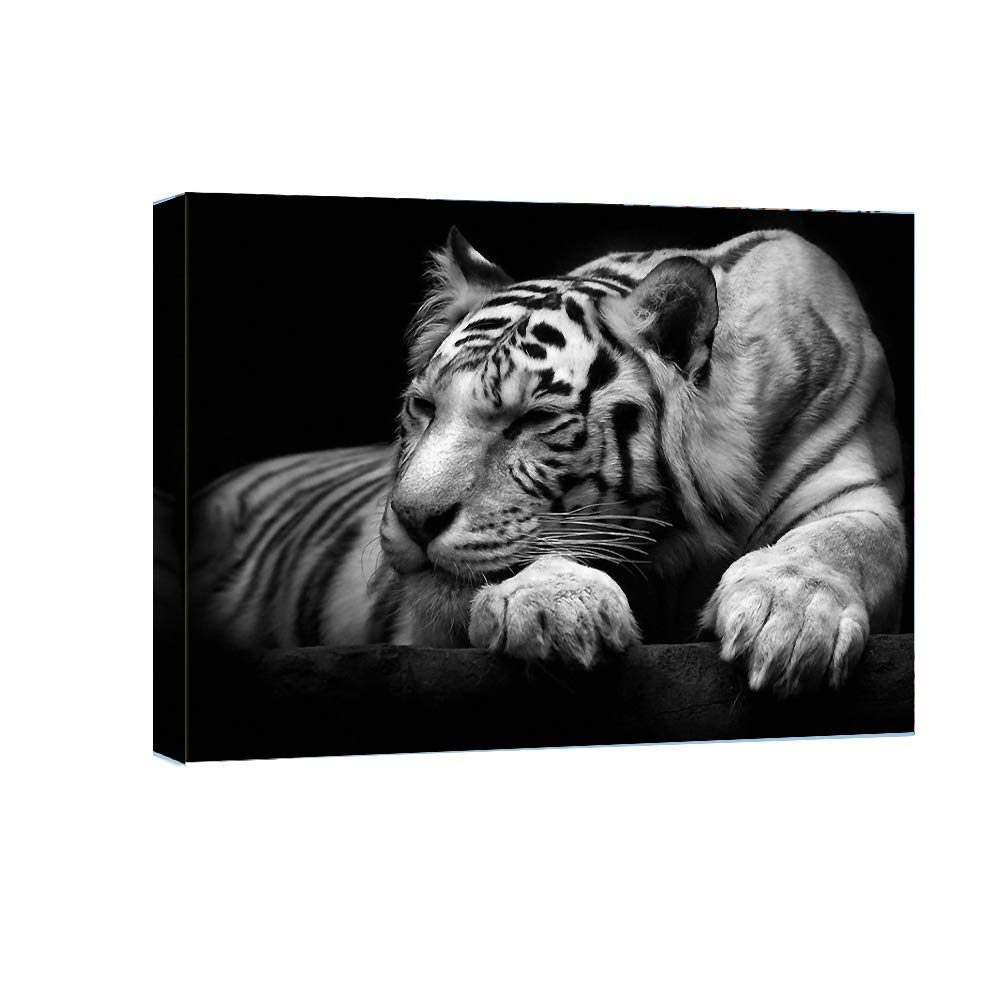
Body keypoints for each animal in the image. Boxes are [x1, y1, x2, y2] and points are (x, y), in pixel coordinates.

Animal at [191, 226, 907, 696]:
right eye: (423, 407)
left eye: (532, 420)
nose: (413, 520)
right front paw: (554, 608)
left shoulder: (851, 486)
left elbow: (846, 541)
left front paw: (790, 619)